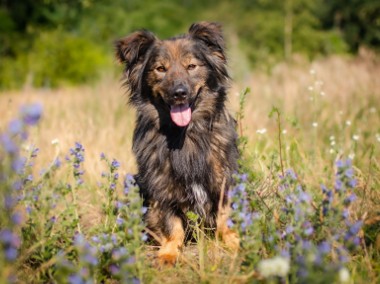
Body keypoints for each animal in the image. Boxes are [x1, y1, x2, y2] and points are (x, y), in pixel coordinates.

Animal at [114, 21, 239, 264]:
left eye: (191, 66)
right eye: (160, 69)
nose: (179, 93)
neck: (184, 135)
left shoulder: (224, 178)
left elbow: (224, 217)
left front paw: (233, 240)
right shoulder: (161, 185)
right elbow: (171, 224)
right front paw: (169, 252)